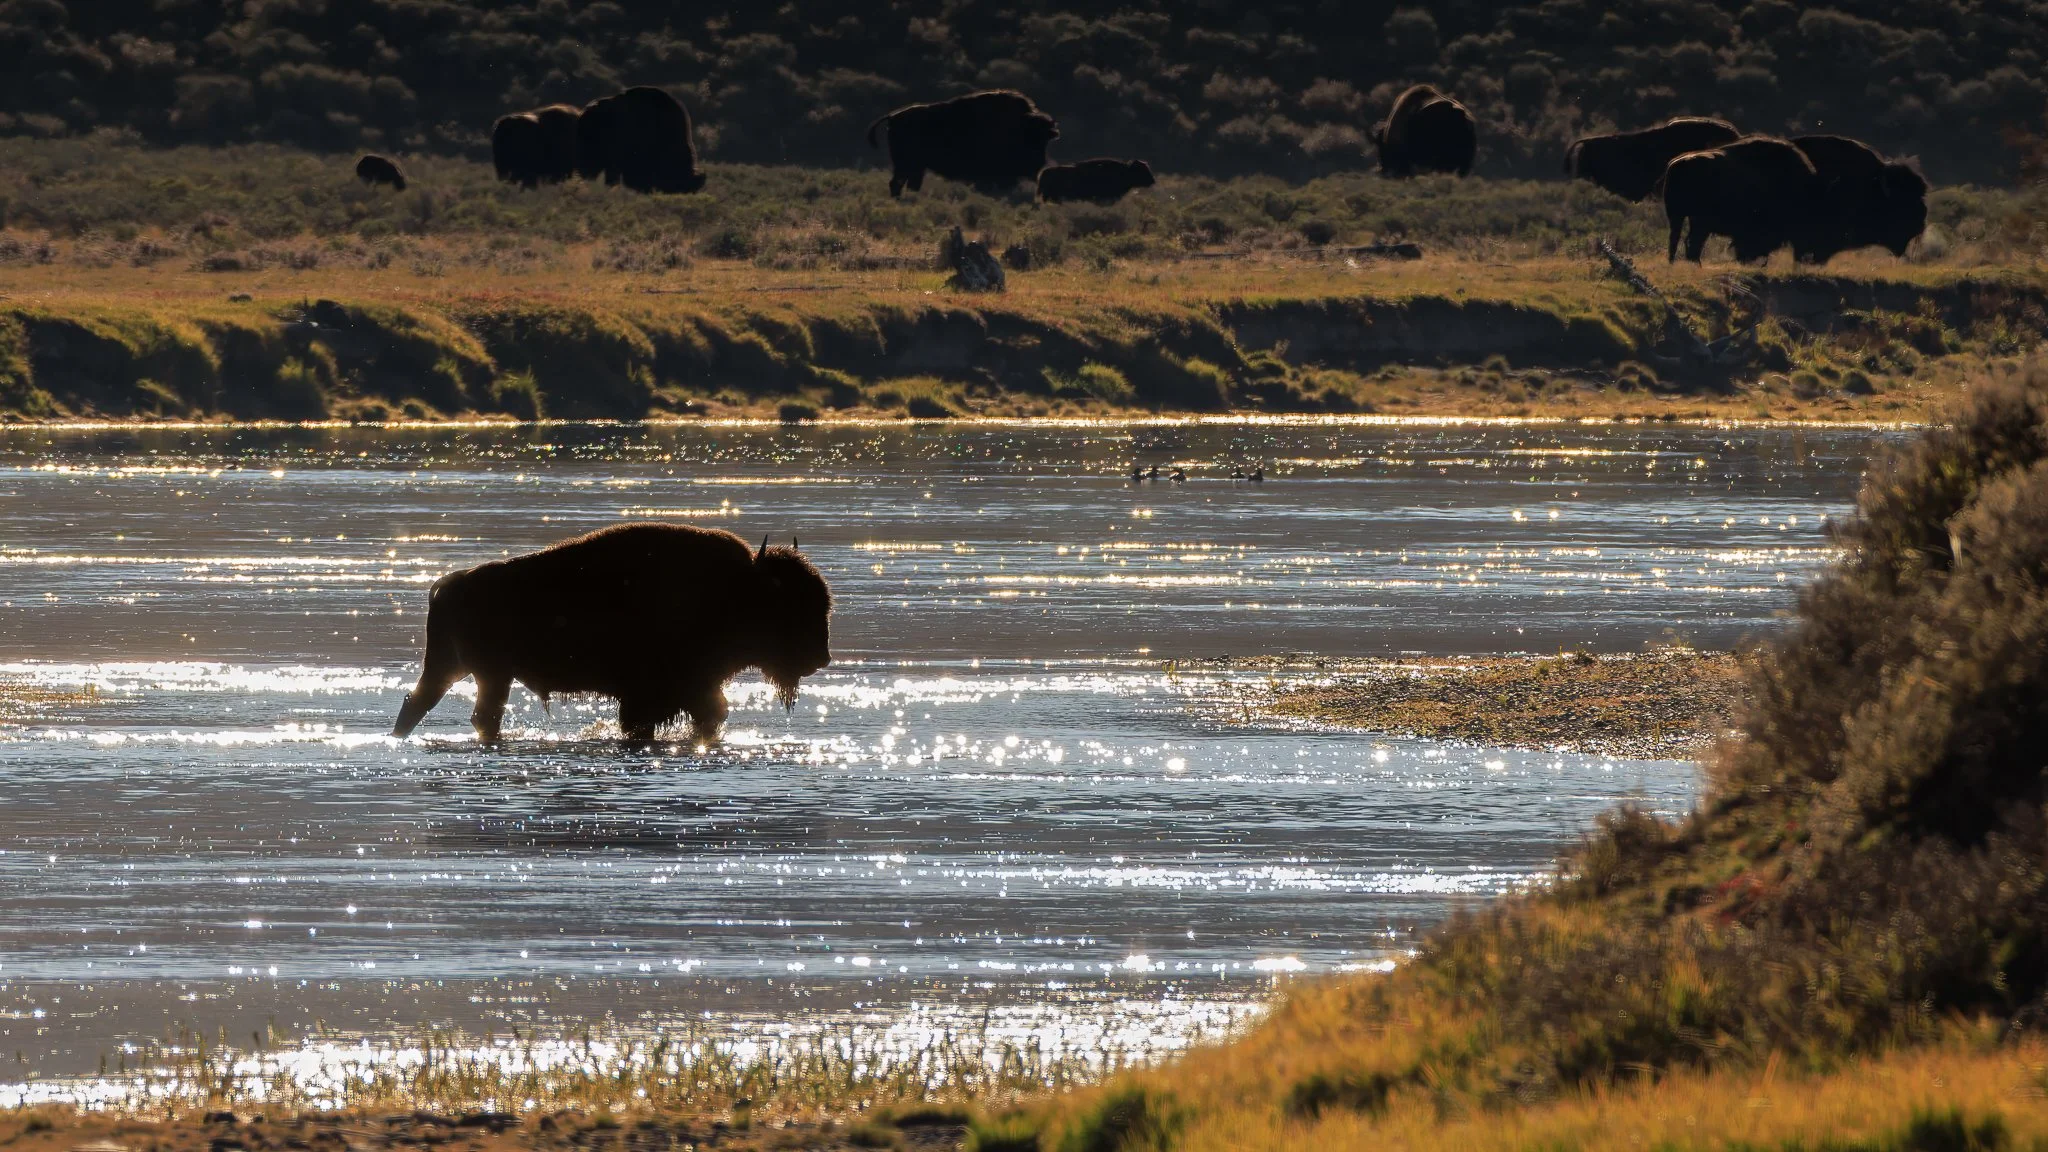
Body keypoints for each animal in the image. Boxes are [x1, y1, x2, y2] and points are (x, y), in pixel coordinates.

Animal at [391, 524, 833, 744]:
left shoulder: (691, 692)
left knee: (420, 703)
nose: (821, 658)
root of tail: (448, 585)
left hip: (458, 670)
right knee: (476, 715)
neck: (736, 590)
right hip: (489, 674)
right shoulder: (651, 695)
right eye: (788, 608)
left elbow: (711, 715)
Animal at [867, 89, 1059, 198]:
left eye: (1045, 140)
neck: (1021, 126)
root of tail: (893, 116)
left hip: (915, 167)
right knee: (896, 183)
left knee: (908, 184)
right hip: (905, 164)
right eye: (1034, 139)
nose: (1040, 164)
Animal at [1660, 136, 1821, 264]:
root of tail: (1676, 164)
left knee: (1679, 240)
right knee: (1691, 241)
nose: (1811, 253)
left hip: (1679, 217)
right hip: (1696, 220)